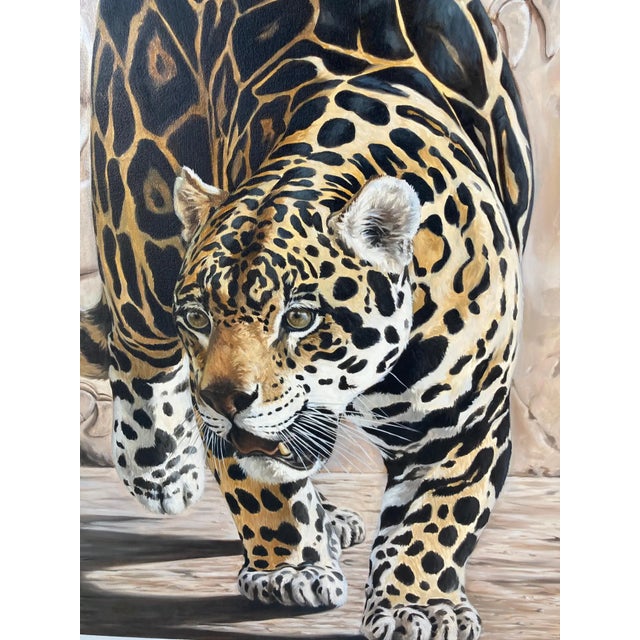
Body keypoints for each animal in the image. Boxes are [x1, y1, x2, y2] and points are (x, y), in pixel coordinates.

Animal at [81, 1, 533, 638]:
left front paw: (418, 607)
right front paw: (290, 570)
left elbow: (435, 522)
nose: (223, 400)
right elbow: (258, 486)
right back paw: (163, 470)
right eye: (197, 317)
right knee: (136, 348)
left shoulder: (463, 422)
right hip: (140, 223)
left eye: (298, 318)